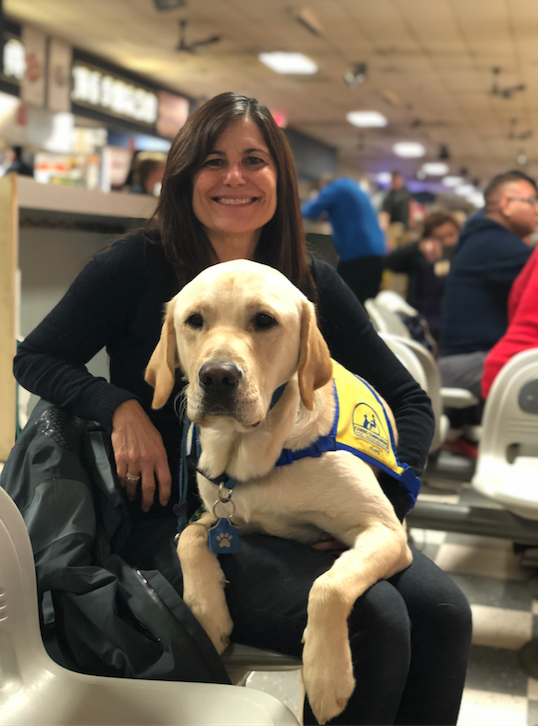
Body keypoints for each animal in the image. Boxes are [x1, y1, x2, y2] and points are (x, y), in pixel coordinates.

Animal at [144, 258, 412, 724]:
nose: (217, 376)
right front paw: (207, 613)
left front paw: (327, 676)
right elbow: (190, 539)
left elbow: (328, 586)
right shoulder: (218, 514)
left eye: (264, 320)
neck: (254, 451)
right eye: (194, 320)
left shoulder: (386, 531)